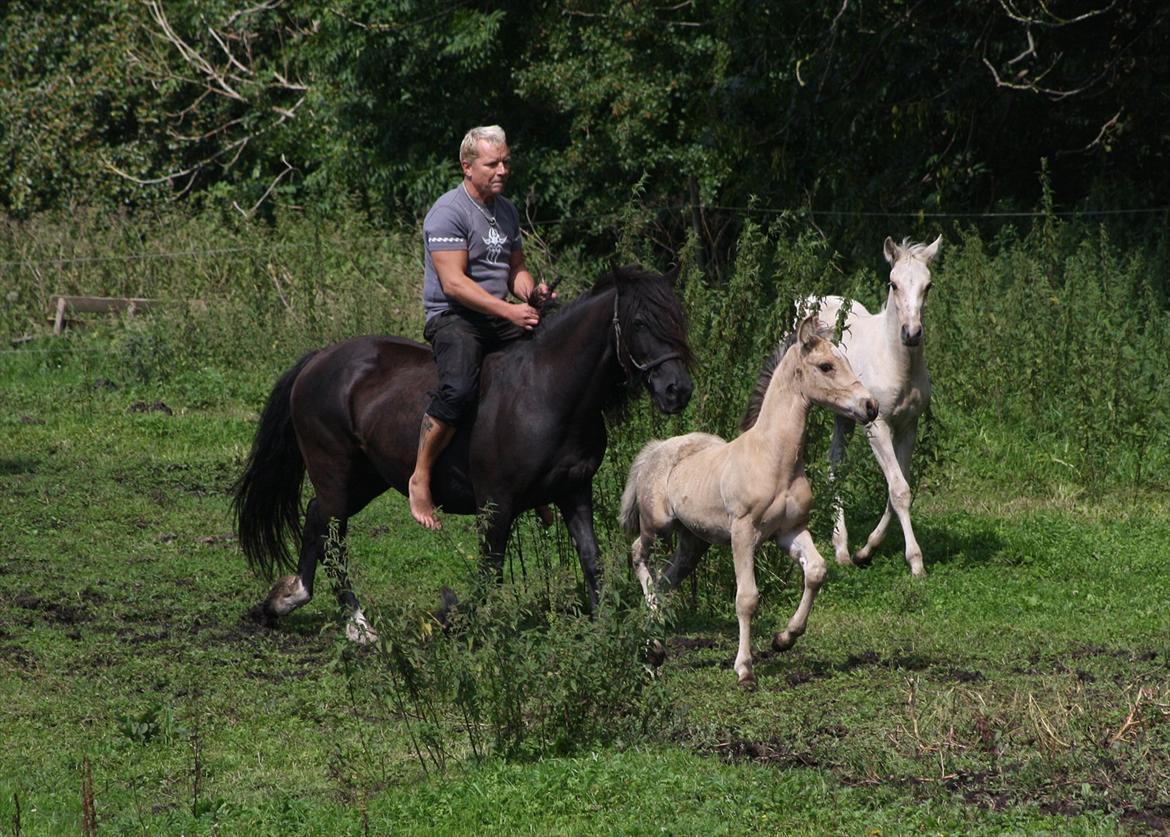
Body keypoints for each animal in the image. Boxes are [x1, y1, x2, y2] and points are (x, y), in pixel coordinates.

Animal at [235, 262, 692, 636]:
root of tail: (318, 360)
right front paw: (462, 624)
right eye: (639, 323)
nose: (678, 390)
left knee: (317, 518)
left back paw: (289, 599)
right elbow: (490, 573)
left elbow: (591, 558)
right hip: (336, 471)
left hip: (365, 479)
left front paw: (604, 628)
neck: (548, 389)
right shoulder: (497, 504)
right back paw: (358, 623)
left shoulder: (574, 492)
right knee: (331, 532)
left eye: (679, 318)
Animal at [617, 318, 875, 683]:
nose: (870, 407)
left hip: (693, 541)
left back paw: (655, 647)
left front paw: (784, 639)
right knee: (639, 554)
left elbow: (817, 571)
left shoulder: (790, 531)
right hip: (659, 524)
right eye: (826, 366)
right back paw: (652, 643)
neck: (775, 461)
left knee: (667, 579)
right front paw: (744, 669)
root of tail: (655, 449)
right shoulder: (743, 533)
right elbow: (747, 598)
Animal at [814, 235, 940, 575]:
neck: (898, 363)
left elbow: (897, 489)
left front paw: (865, 551)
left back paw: (841, 547)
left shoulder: (908, 426)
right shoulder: (877, 425)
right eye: (893, 283)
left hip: (843, 417)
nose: (911, 334)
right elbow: (899, 490)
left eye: (928, 285)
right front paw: (916, 563)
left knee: (835, 462)